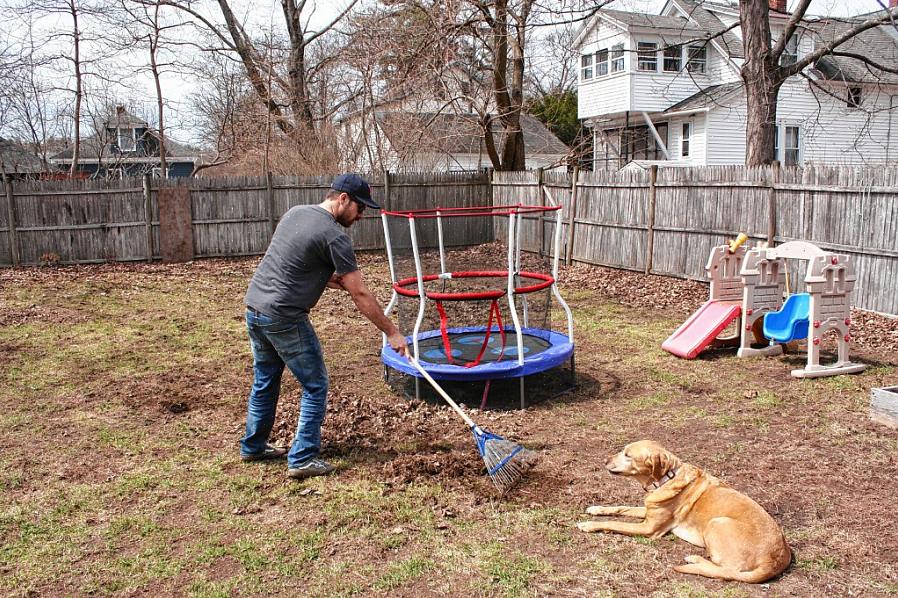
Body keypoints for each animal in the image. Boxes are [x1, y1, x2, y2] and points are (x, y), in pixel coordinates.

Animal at [576, 440, 788, 584]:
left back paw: (694, 559)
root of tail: (777, 558)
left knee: (726, 570)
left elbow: (614, 522)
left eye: (628, 455)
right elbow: (620, 507)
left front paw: (588, 524)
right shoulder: (648, 511)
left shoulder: (649, 529)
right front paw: (596, 508)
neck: (666, 478)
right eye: (623, 450)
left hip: (716, 523)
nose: (604, 460)